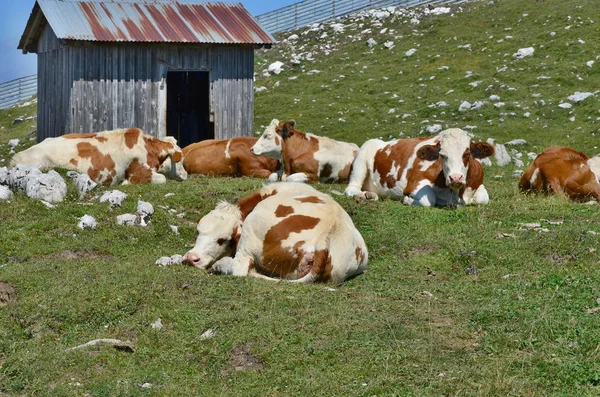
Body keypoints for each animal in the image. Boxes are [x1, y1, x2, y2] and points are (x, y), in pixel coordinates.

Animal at [9, 129, 186, 186]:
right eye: (181, 159)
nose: (186, 174)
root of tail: (15, 157)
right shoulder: (138, 172)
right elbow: (162, 178)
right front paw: (125, 183)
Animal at [180, 181, 368, 284]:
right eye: (198, 231)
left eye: (223, 239)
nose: (191, 258)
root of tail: (324, 238)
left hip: (251, 232)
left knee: (239, 268)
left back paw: (221, 265)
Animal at [344, 127, 494, 207]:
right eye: (442, 155)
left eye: (467, 154)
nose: (455, 178)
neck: (456, 194)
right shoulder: (413, 184)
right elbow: (429, 199)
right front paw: (406, 200)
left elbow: (484, 198)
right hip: (361, 159)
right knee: (351, 188)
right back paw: (362, 195)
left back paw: (370, 195)